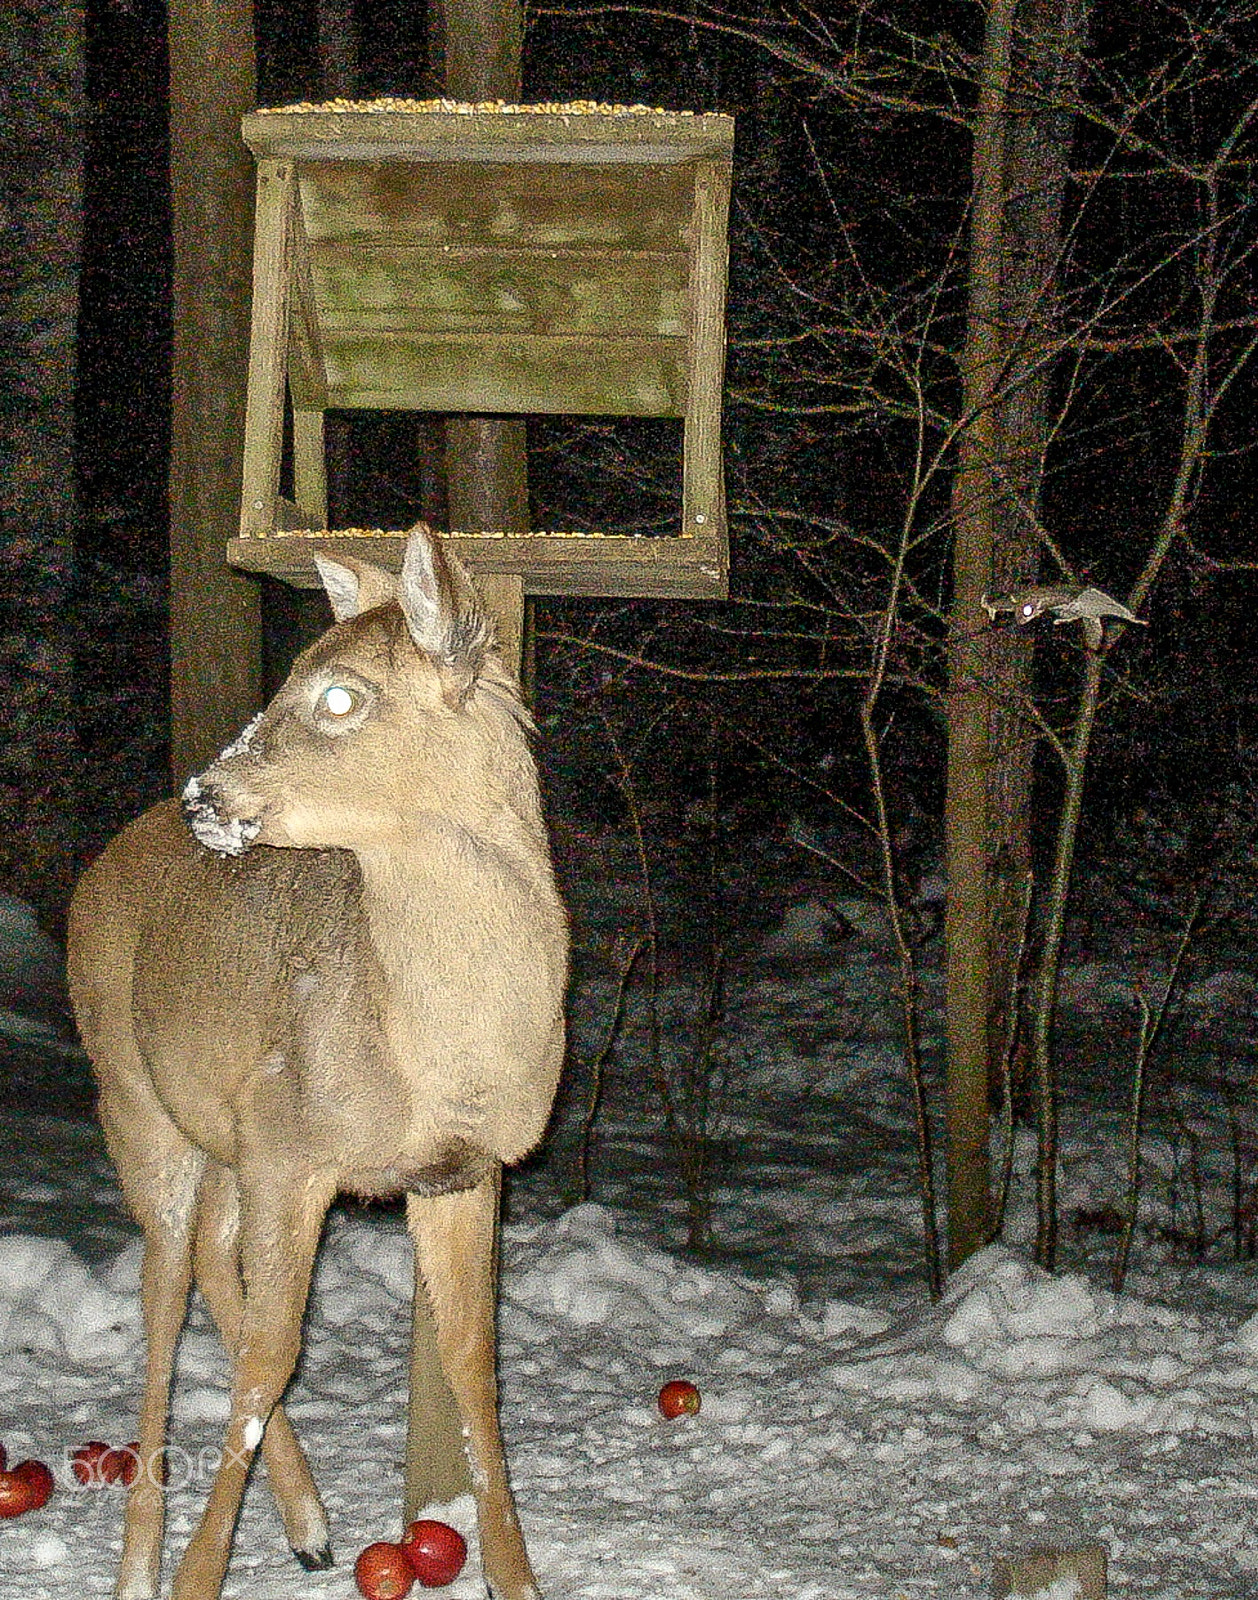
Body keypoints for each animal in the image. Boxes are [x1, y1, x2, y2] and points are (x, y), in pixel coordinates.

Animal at [63, 528, 563, 1600]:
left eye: (340, 694)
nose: (205, 795)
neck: (437, 1049)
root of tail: (108, 857)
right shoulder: (294, 1142)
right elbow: (268, 1357)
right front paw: (196, 1578)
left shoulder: (466, 1167)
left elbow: (474, 1359)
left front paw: (517, 1578)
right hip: (132, 1096)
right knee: (165, 1295)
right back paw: (140, 1565)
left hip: (223, 1130)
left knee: (213, 1262)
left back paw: (310, 1525)